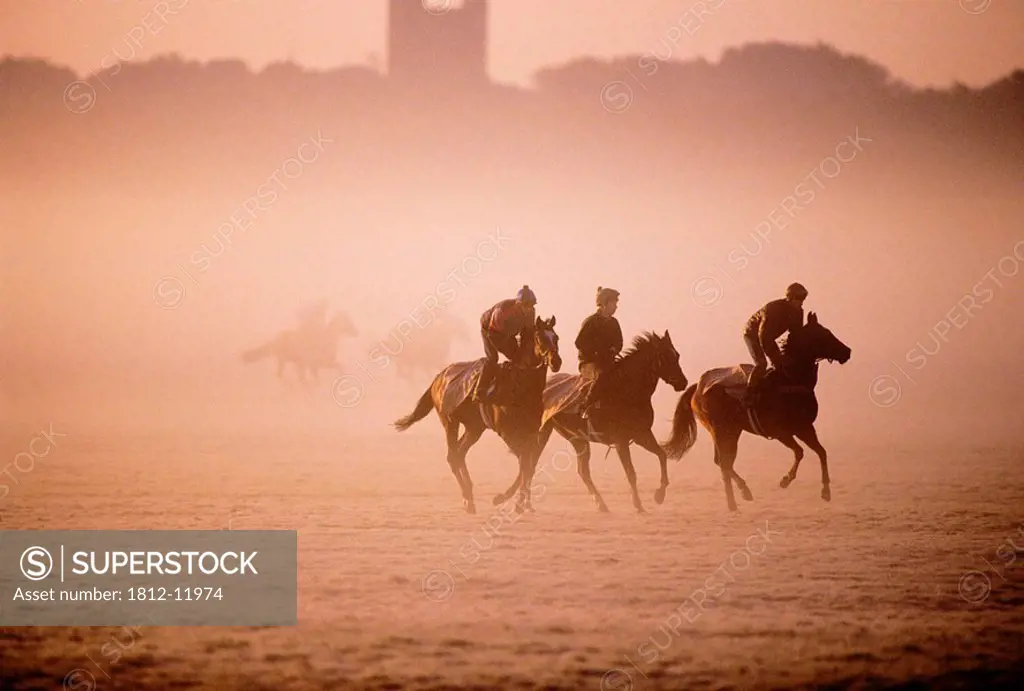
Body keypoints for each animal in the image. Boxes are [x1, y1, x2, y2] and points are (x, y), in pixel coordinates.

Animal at [393, 315, 569, 515]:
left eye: (556, 337)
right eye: (540, 338)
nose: (556, 361)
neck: (521, 387)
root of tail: (438, 377)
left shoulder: (531, 431)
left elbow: (529, 464)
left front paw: (523, 503)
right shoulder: (507, 432)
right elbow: (524, 462)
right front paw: (506, 499)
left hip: (474, 428)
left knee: (460, 453)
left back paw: (469, 495)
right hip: (449, 422)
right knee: (452, 456)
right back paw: (467, 499)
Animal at [507, 331, 692, 515]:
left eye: (676, 355)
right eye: (665, 356)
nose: (682, 382)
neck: (628, 391)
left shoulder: (642, 435)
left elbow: (661, 455)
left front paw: (659, 495)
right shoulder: (621, 441)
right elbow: (631, 472)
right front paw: (638, 504)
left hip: (577, 440)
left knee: (581, 471)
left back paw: (600, 504)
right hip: (542, 433)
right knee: (529, 465)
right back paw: (522, 504)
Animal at [659, 313, 851, 513]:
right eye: (825, 334)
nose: (847, 351)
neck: (789, 381)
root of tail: (697, 387)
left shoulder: (805, 428)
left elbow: (821, 452)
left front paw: (826, 491)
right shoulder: (780, 432)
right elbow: (800, 451)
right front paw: (785, 480)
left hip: (731, 431)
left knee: (722, 461)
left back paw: (742, 493)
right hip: (720, 430)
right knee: (725, 462)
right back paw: (734, 500)